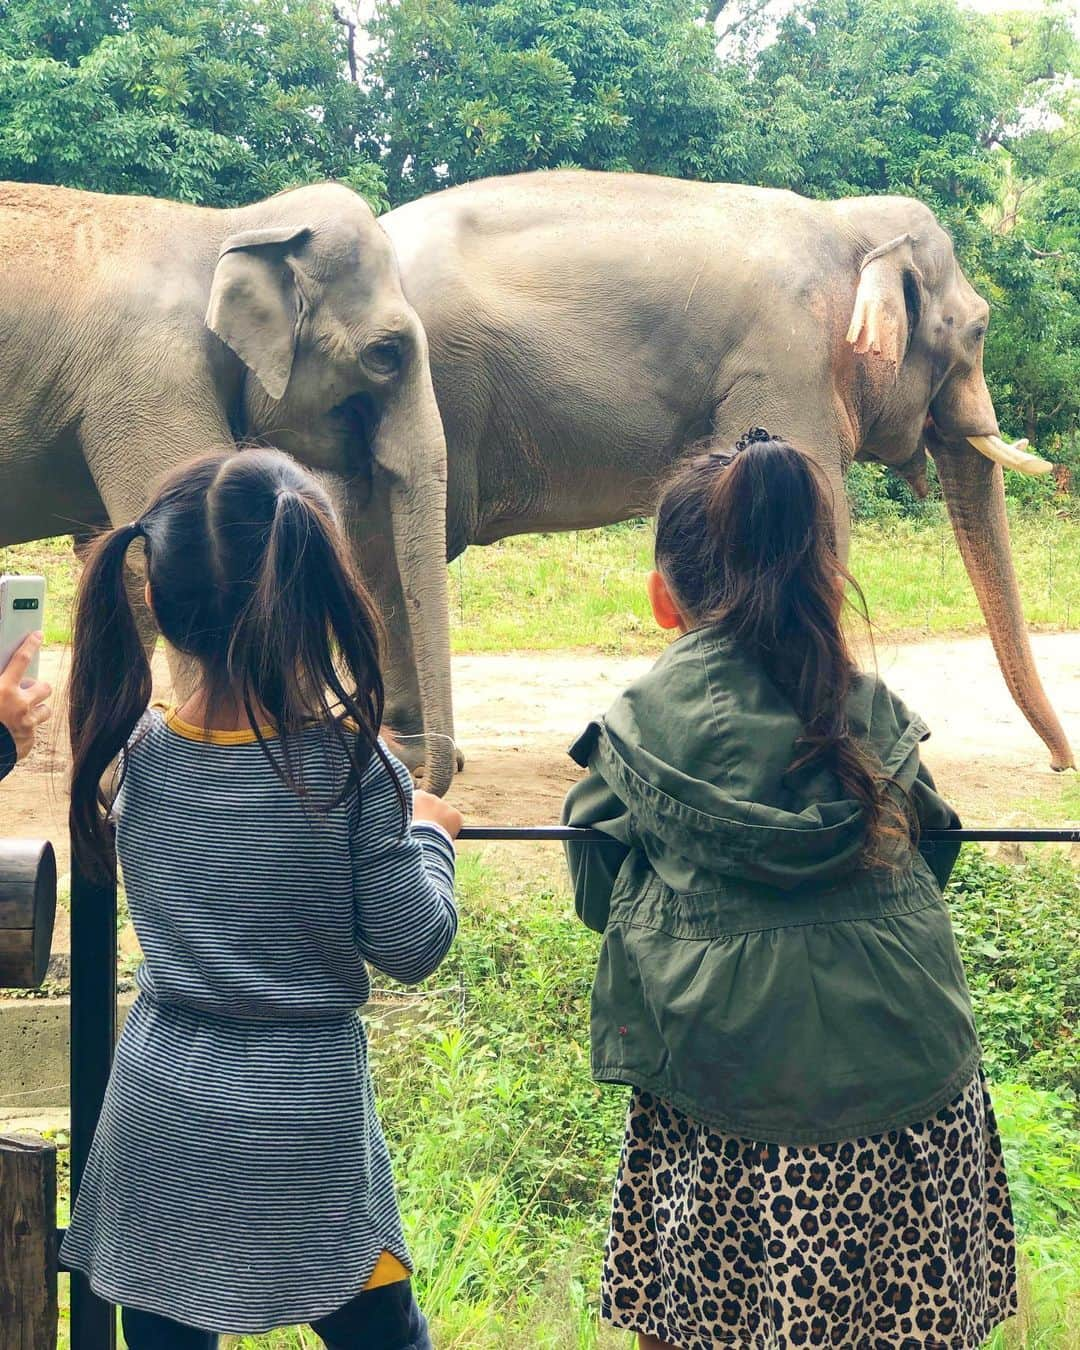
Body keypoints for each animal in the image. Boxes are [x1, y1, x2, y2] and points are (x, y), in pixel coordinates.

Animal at [0, 179, 456, 788]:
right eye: (385, 354)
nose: (422, 764)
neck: (231, 225)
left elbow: (116, 566)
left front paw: (106, 778)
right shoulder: (151, 379)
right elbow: (165, 560)